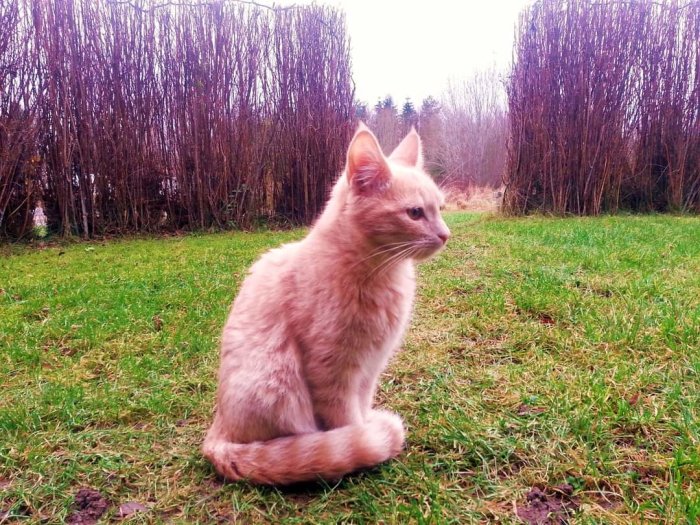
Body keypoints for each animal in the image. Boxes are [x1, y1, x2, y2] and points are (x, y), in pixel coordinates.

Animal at [202, 122, 448, 484]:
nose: (446, 235)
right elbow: (347, 422)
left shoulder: (369, 369)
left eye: (440, 209)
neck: (376, 274)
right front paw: (363, 443)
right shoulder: (331, 370)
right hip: (277, 382)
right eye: (415, 213)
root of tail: (216, 436)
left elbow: (361, 407)